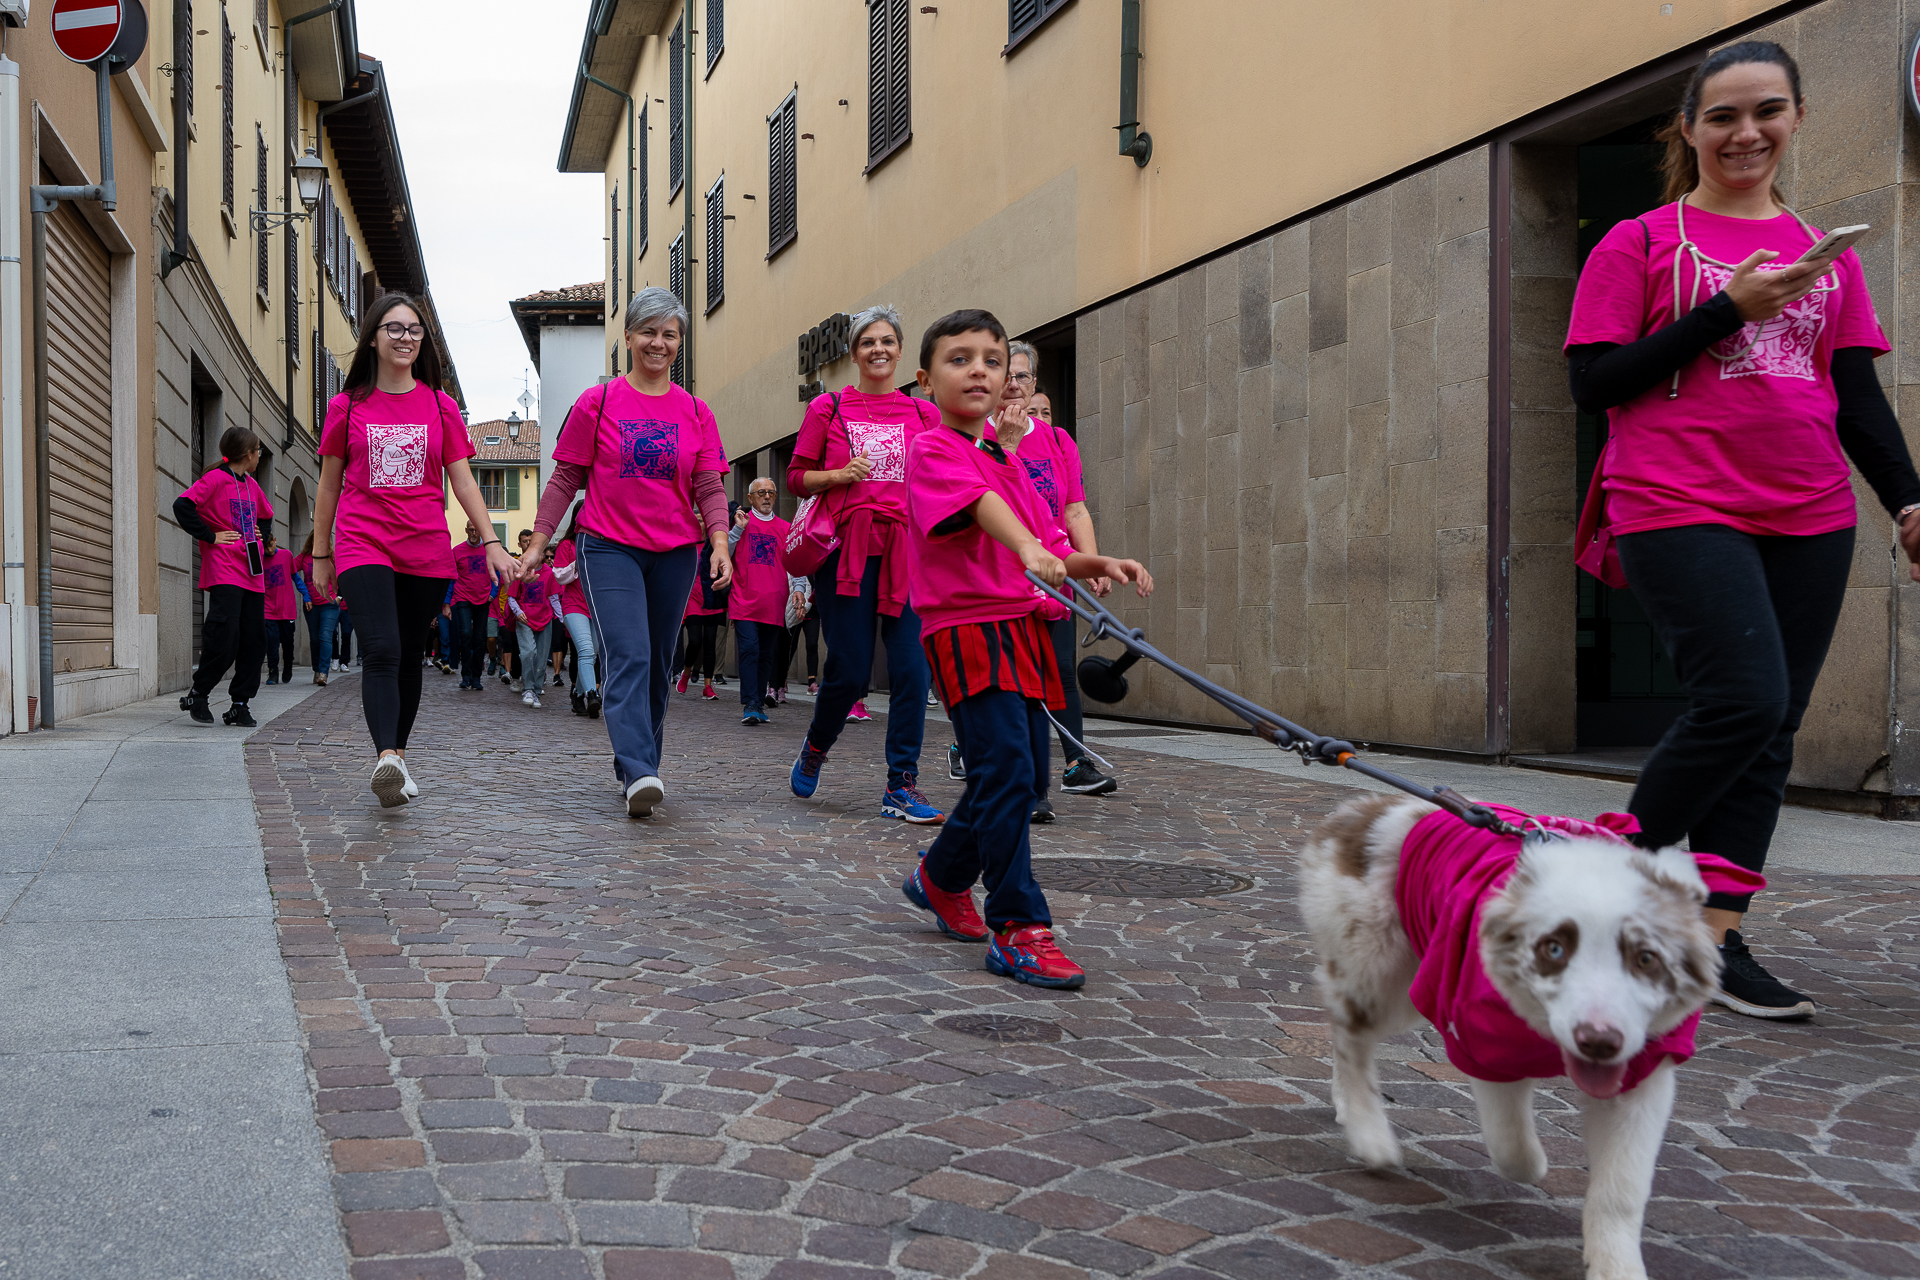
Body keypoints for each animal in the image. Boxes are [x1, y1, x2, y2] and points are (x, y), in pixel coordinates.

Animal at [1297, 790, 1758, 1280]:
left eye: (1646, 958)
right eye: (1554, 949)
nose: (1599, 1041)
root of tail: (1364, 807)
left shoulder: (1644, 1072)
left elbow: (1622, 1189)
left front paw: (1615, 1266)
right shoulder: (1477, 1037)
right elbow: (1511, 1144)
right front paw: (1534, 1163)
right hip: (1381, 970)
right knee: (1351, 1035)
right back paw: (1369, 1134)